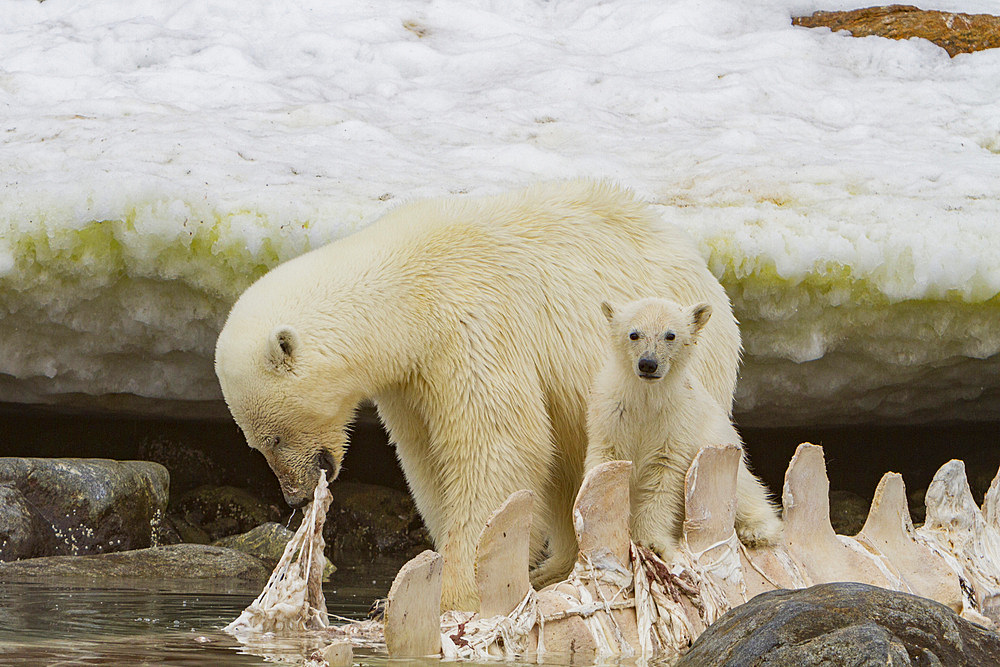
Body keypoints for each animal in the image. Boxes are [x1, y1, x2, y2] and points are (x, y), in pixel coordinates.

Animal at [217, 180, 744, 612]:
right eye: (256, 443)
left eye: (273, 438)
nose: (295, 495)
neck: (409, 290)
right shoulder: (411, 378)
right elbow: (428, 458)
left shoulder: (473, 322)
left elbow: (498, 444)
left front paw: (454, 589)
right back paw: (555, 568)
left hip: (679, 368)